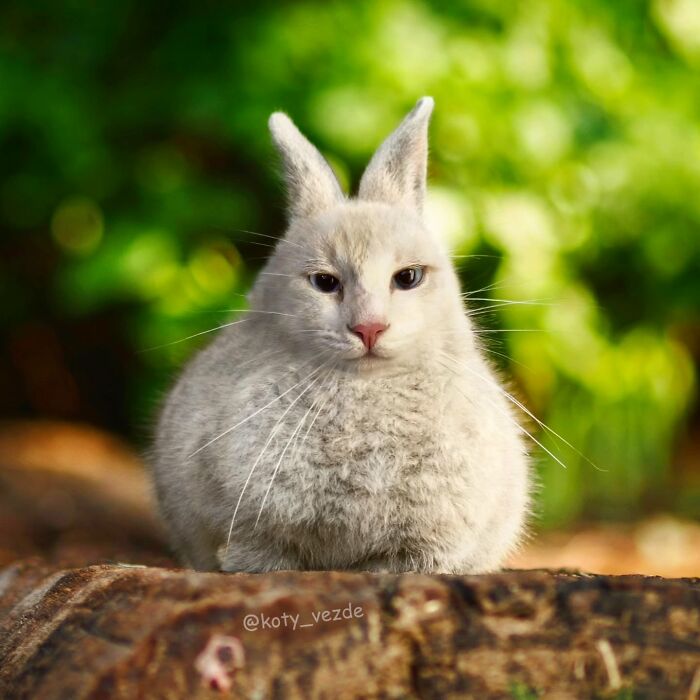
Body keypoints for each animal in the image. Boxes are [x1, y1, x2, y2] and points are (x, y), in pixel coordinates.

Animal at [150, 97, 531, 574]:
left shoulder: (423, 549)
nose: (369, 328)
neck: (365, 387)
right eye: (324, 282)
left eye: (409, 277)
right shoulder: (255, 538)